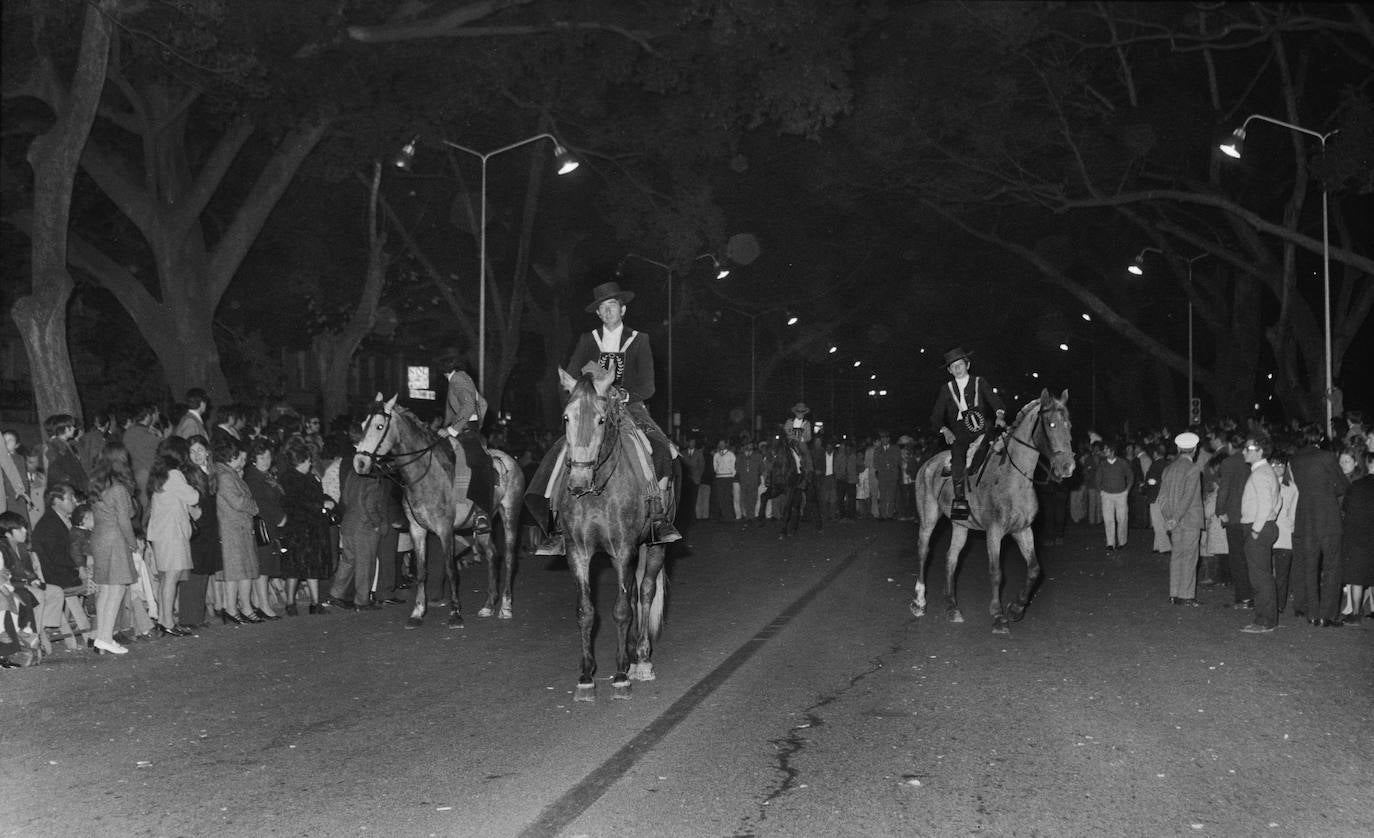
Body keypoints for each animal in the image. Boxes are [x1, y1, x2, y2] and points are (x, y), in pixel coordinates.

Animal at [354, 395, 524, 623]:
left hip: (510, 514)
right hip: (483, 525)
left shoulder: (445, 530)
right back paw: (488, 605)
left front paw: (455, 613)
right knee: (491, 555)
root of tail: (509, 460)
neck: (425, 476)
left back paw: (505, 606)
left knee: (509, 557)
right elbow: (421, 571)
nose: (360, 462)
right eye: (363, 424)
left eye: (380, 426)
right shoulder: (417, 530)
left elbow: (451, 569)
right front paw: (417, 612)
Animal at [552, 368, 670, 700]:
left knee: (645, 592)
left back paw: (641, 659)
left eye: (602, 420)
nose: (578, 481)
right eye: (566, 417)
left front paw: (620, 676)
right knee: (634, 594)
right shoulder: (577, 553)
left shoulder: (623, 549)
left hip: (654, 545)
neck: (597, 492)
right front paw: (586, 677)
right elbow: (586, 611)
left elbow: (621, 609)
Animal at [912, 387, 1071, 629]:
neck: (1014, 477)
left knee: (951, 558)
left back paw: (952, 607)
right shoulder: (994, 532)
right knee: (923, 551)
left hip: (960, 525)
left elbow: (1034, 569)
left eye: (1068, 424)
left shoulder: (1023, 530)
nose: (1068, 466)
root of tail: (928, 464)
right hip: (928, 518)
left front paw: (1016, 608)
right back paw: (920, 602)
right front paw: (998, 615)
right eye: (1051, 424)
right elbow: (996, 572)